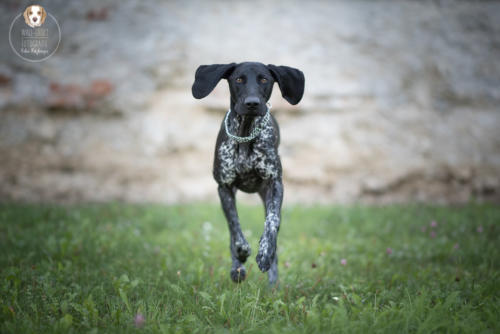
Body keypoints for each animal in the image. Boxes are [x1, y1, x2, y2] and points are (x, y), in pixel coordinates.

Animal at [191, 62, 304, 284]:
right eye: (239, 79)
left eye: (264, 79)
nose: (252, 103)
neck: (245, 134)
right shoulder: (224, 187)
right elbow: (234, 228)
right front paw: (241, 254)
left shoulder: (275, 184)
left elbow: (272, 222)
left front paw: (265, 252)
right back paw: (237, 268)